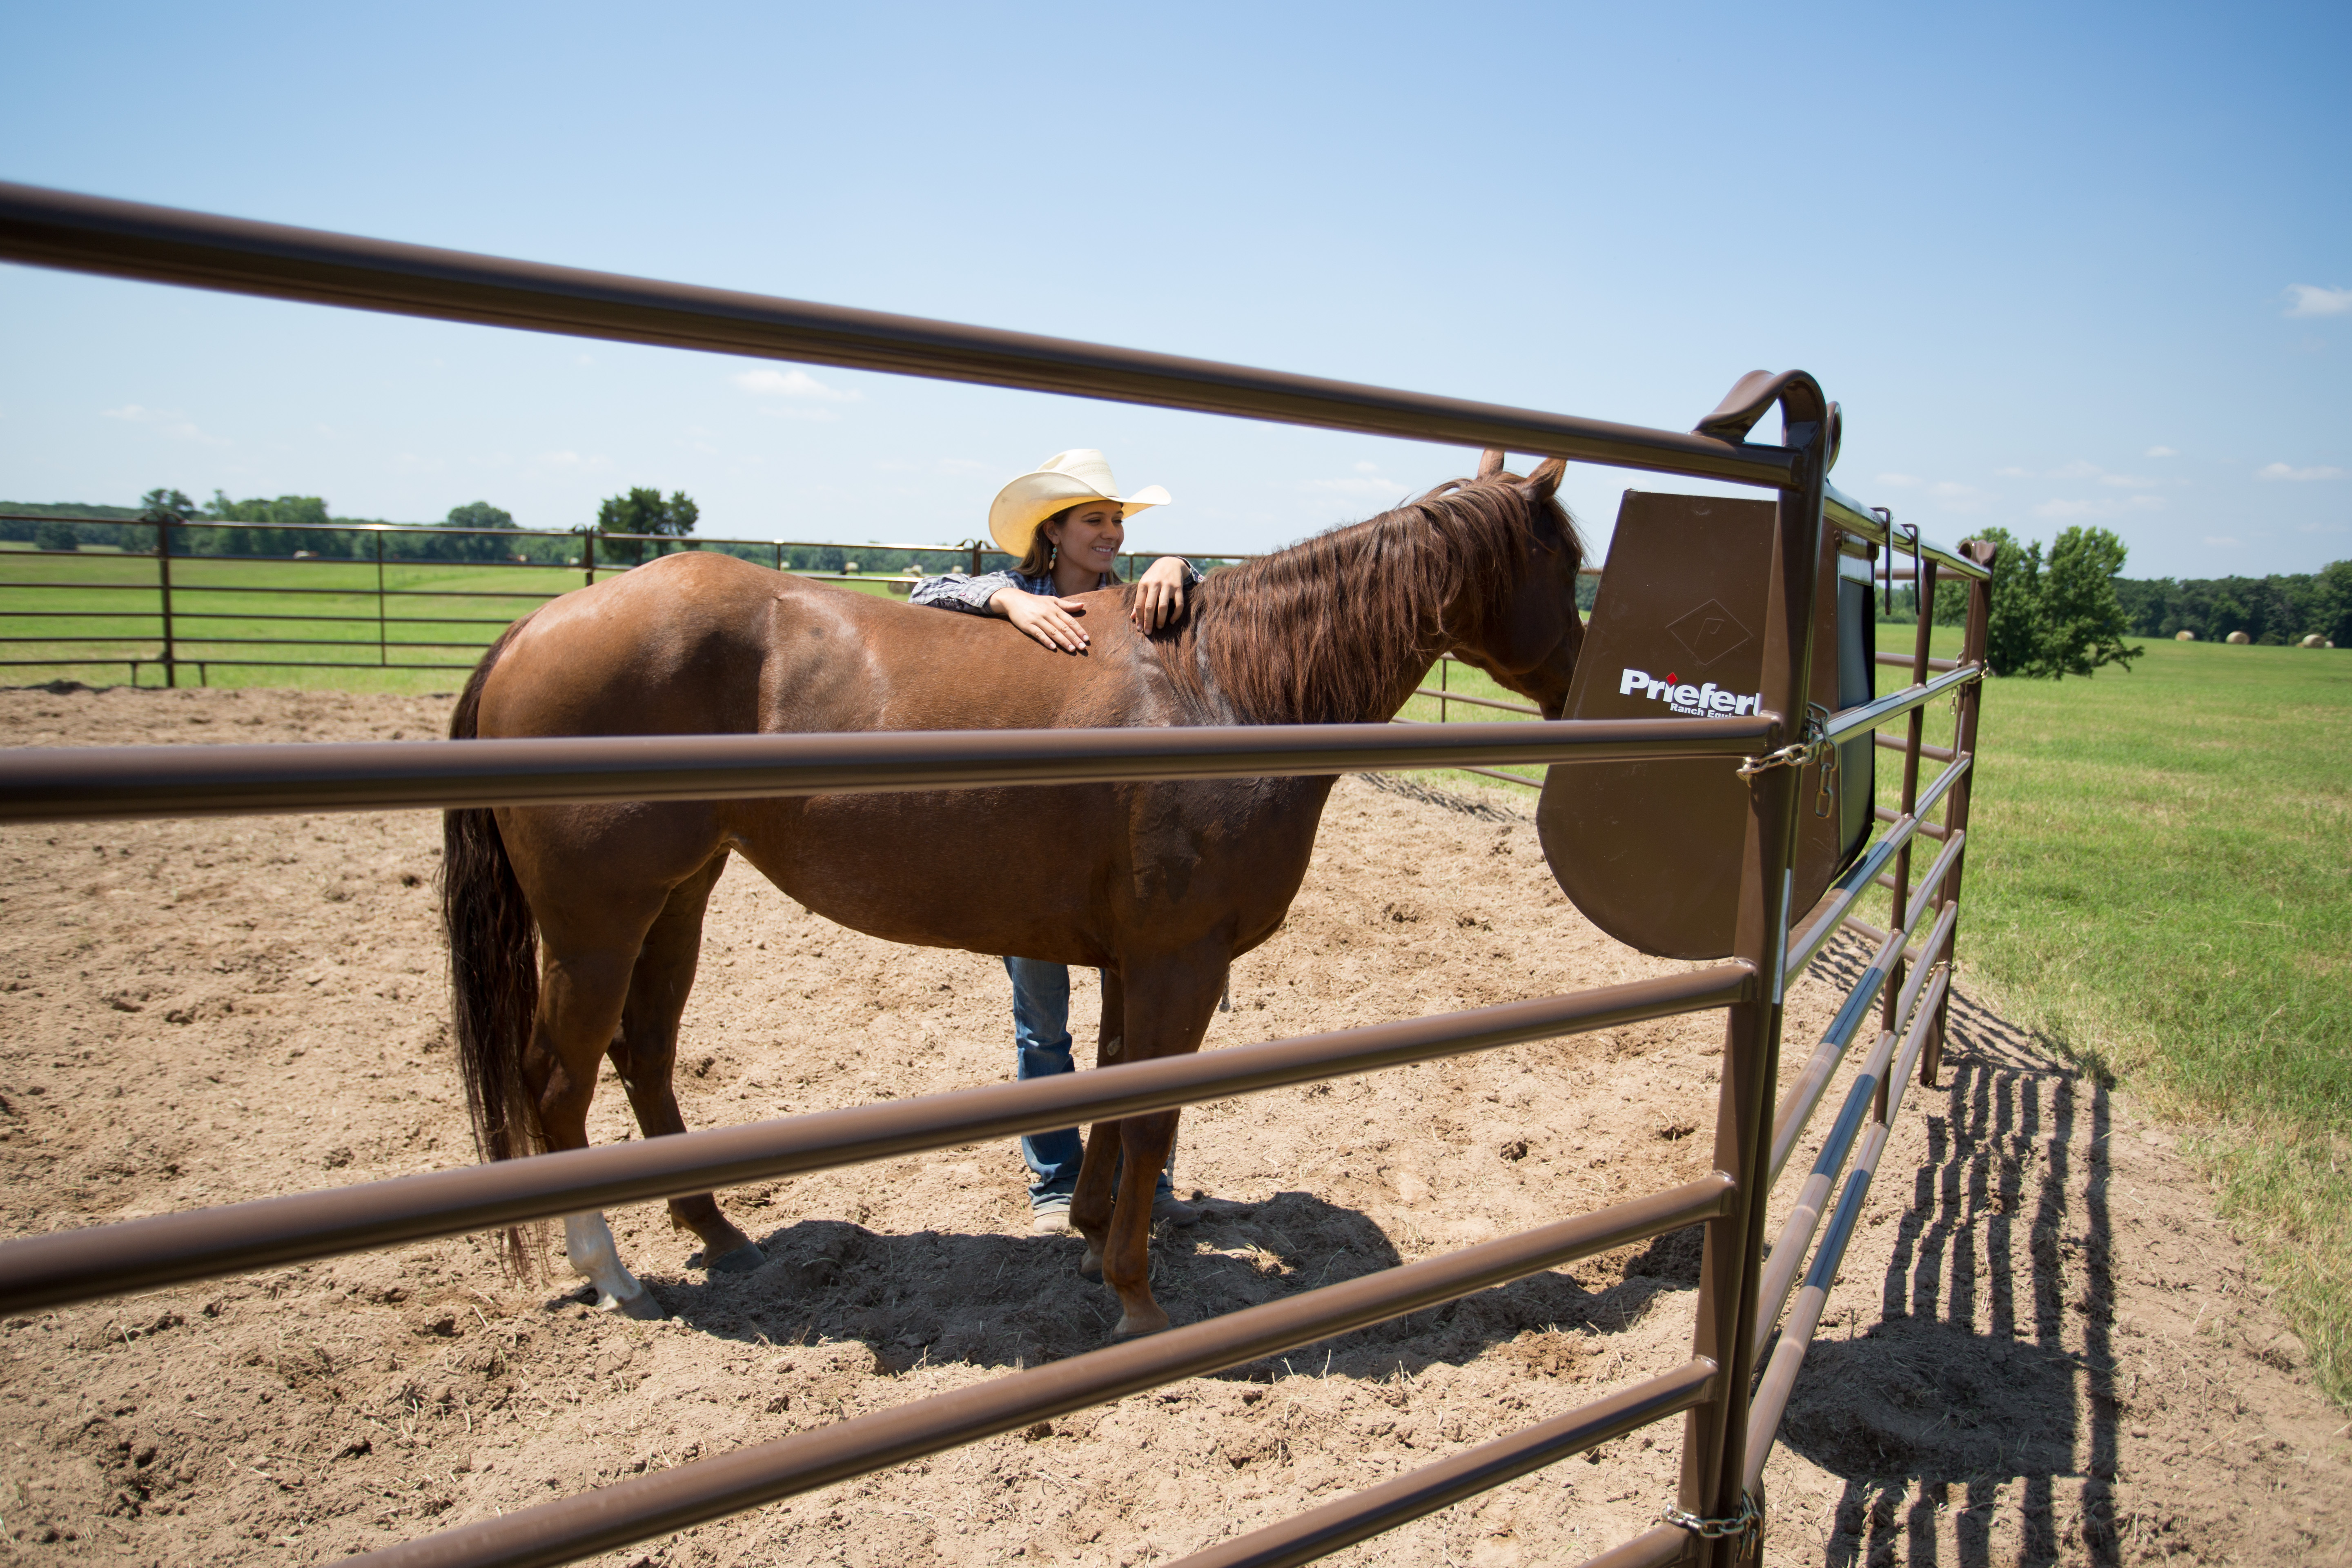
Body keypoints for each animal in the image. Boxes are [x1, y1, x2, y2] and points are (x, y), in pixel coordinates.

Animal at [441, 452, 1585, 1337]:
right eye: (1570, 563)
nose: (1584, 689)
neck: (1223, 686)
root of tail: (539, 625)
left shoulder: (1132, 959)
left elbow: (1111, 1091)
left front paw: (1086, 1241)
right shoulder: (1179, 958)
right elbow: (1151, 1115)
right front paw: (1135, 1297)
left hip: (678, 897)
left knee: (645, 1057)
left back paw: (720, 1234)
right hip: (595, 923)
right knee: (558, 1082)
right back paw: (611, 1272)